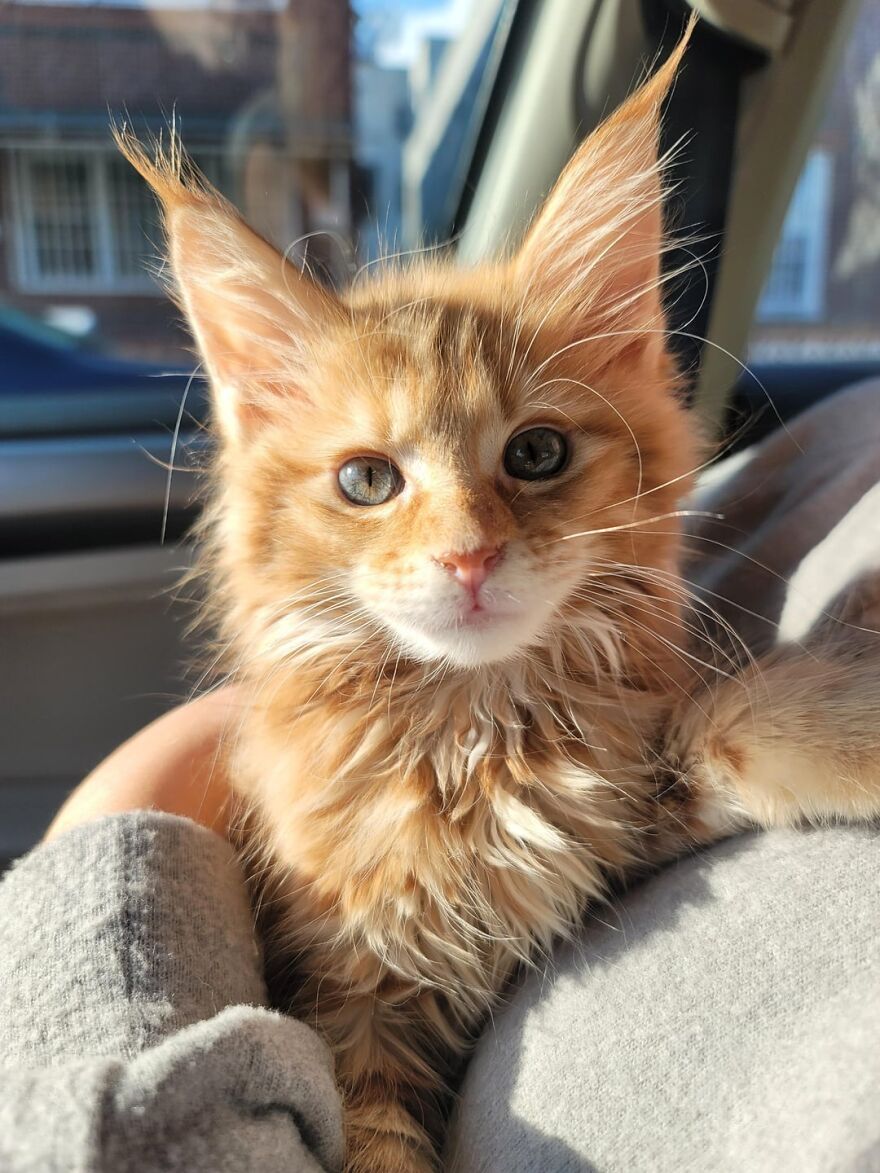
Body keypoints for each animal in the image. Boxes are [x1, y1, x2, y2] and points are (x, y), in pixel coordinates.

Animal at [115, 25, 880, 1173]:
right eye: (368, 480)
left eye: (536, 454)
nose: (470, 557)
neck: (471, 740)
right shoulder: (350, 1001)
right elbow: (376, 1143)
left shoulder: (612, 820)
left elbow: (740, 727)